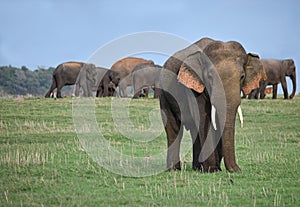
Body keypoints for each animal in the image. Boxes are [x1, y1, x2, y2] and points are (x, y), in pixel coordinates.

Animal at [159, 37, 264, 173]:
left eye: (242, 77)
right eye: (210, 77)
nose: (237, 169)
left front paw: (215, 168)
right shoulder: (194, 88)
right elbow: (205, 119)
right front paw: (212, 169)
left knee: (194, 131)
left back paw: (197, 168)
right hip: (164, 94)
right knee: (174, 129)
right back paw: (174, 170)